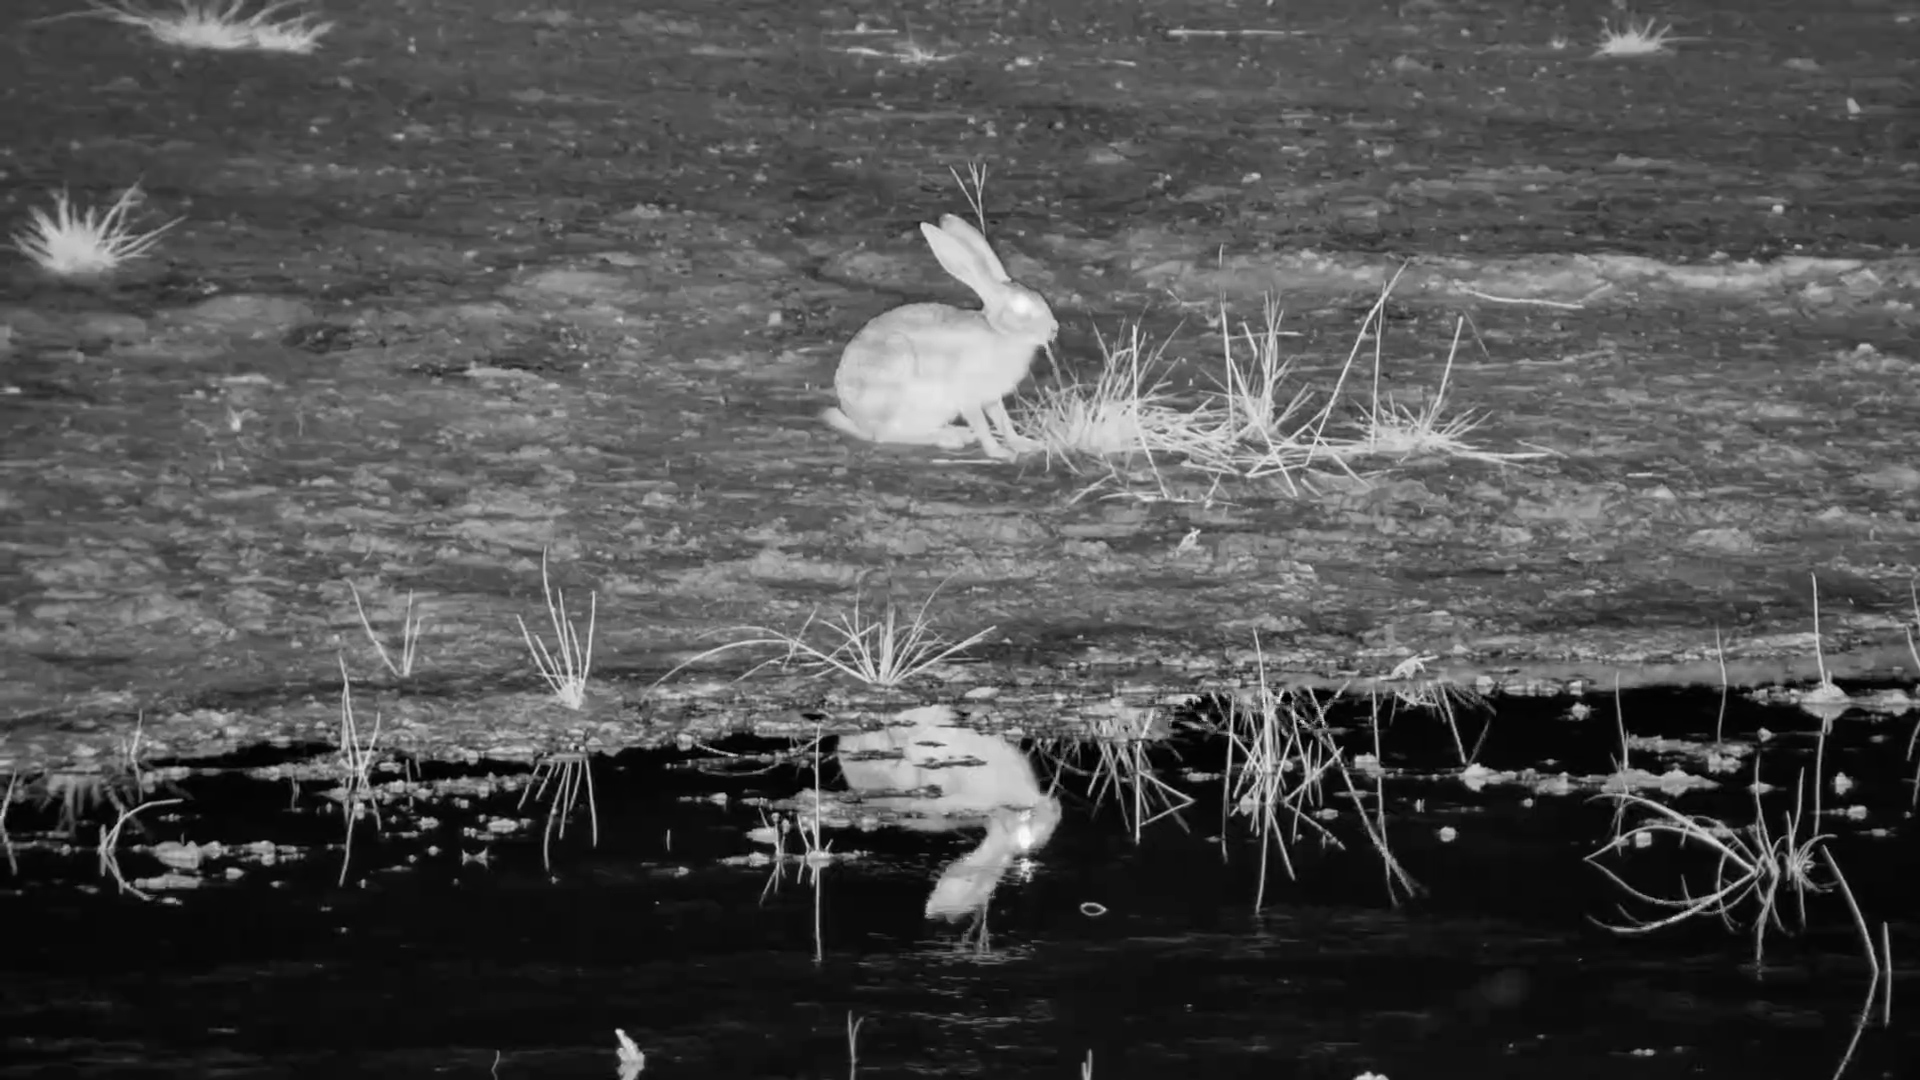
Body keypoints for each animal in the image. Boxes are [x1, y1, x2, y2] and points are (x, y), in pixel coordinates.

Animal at [820, 213, 1057, 461]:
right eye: (1021, 308)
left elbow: (1003, 421)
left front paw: (1025, 444)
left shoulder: (992, 397)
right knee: (883, 434)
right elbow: (982, 423)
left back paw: (958, 433)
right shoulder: (968, 395)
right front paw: (998, 452)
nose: (1054, 329)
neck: (1000, 333)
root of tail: (856, 418)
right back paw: (948, 438)